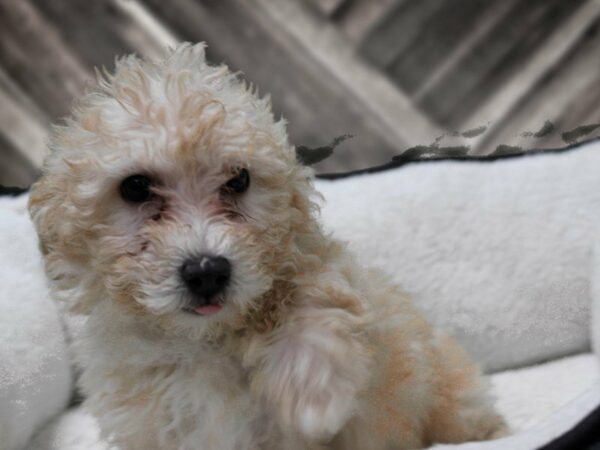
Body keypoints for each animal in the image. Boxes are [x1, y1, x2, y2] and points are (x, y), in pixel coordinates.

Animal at [28, 43, 506, 450]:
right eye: (135, 187)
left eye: (239, 180)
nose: (207, 272)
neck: (205, 338)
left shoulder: (324, 273)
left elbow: (319, 301)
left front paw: (311, 398)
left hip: (450, 396)